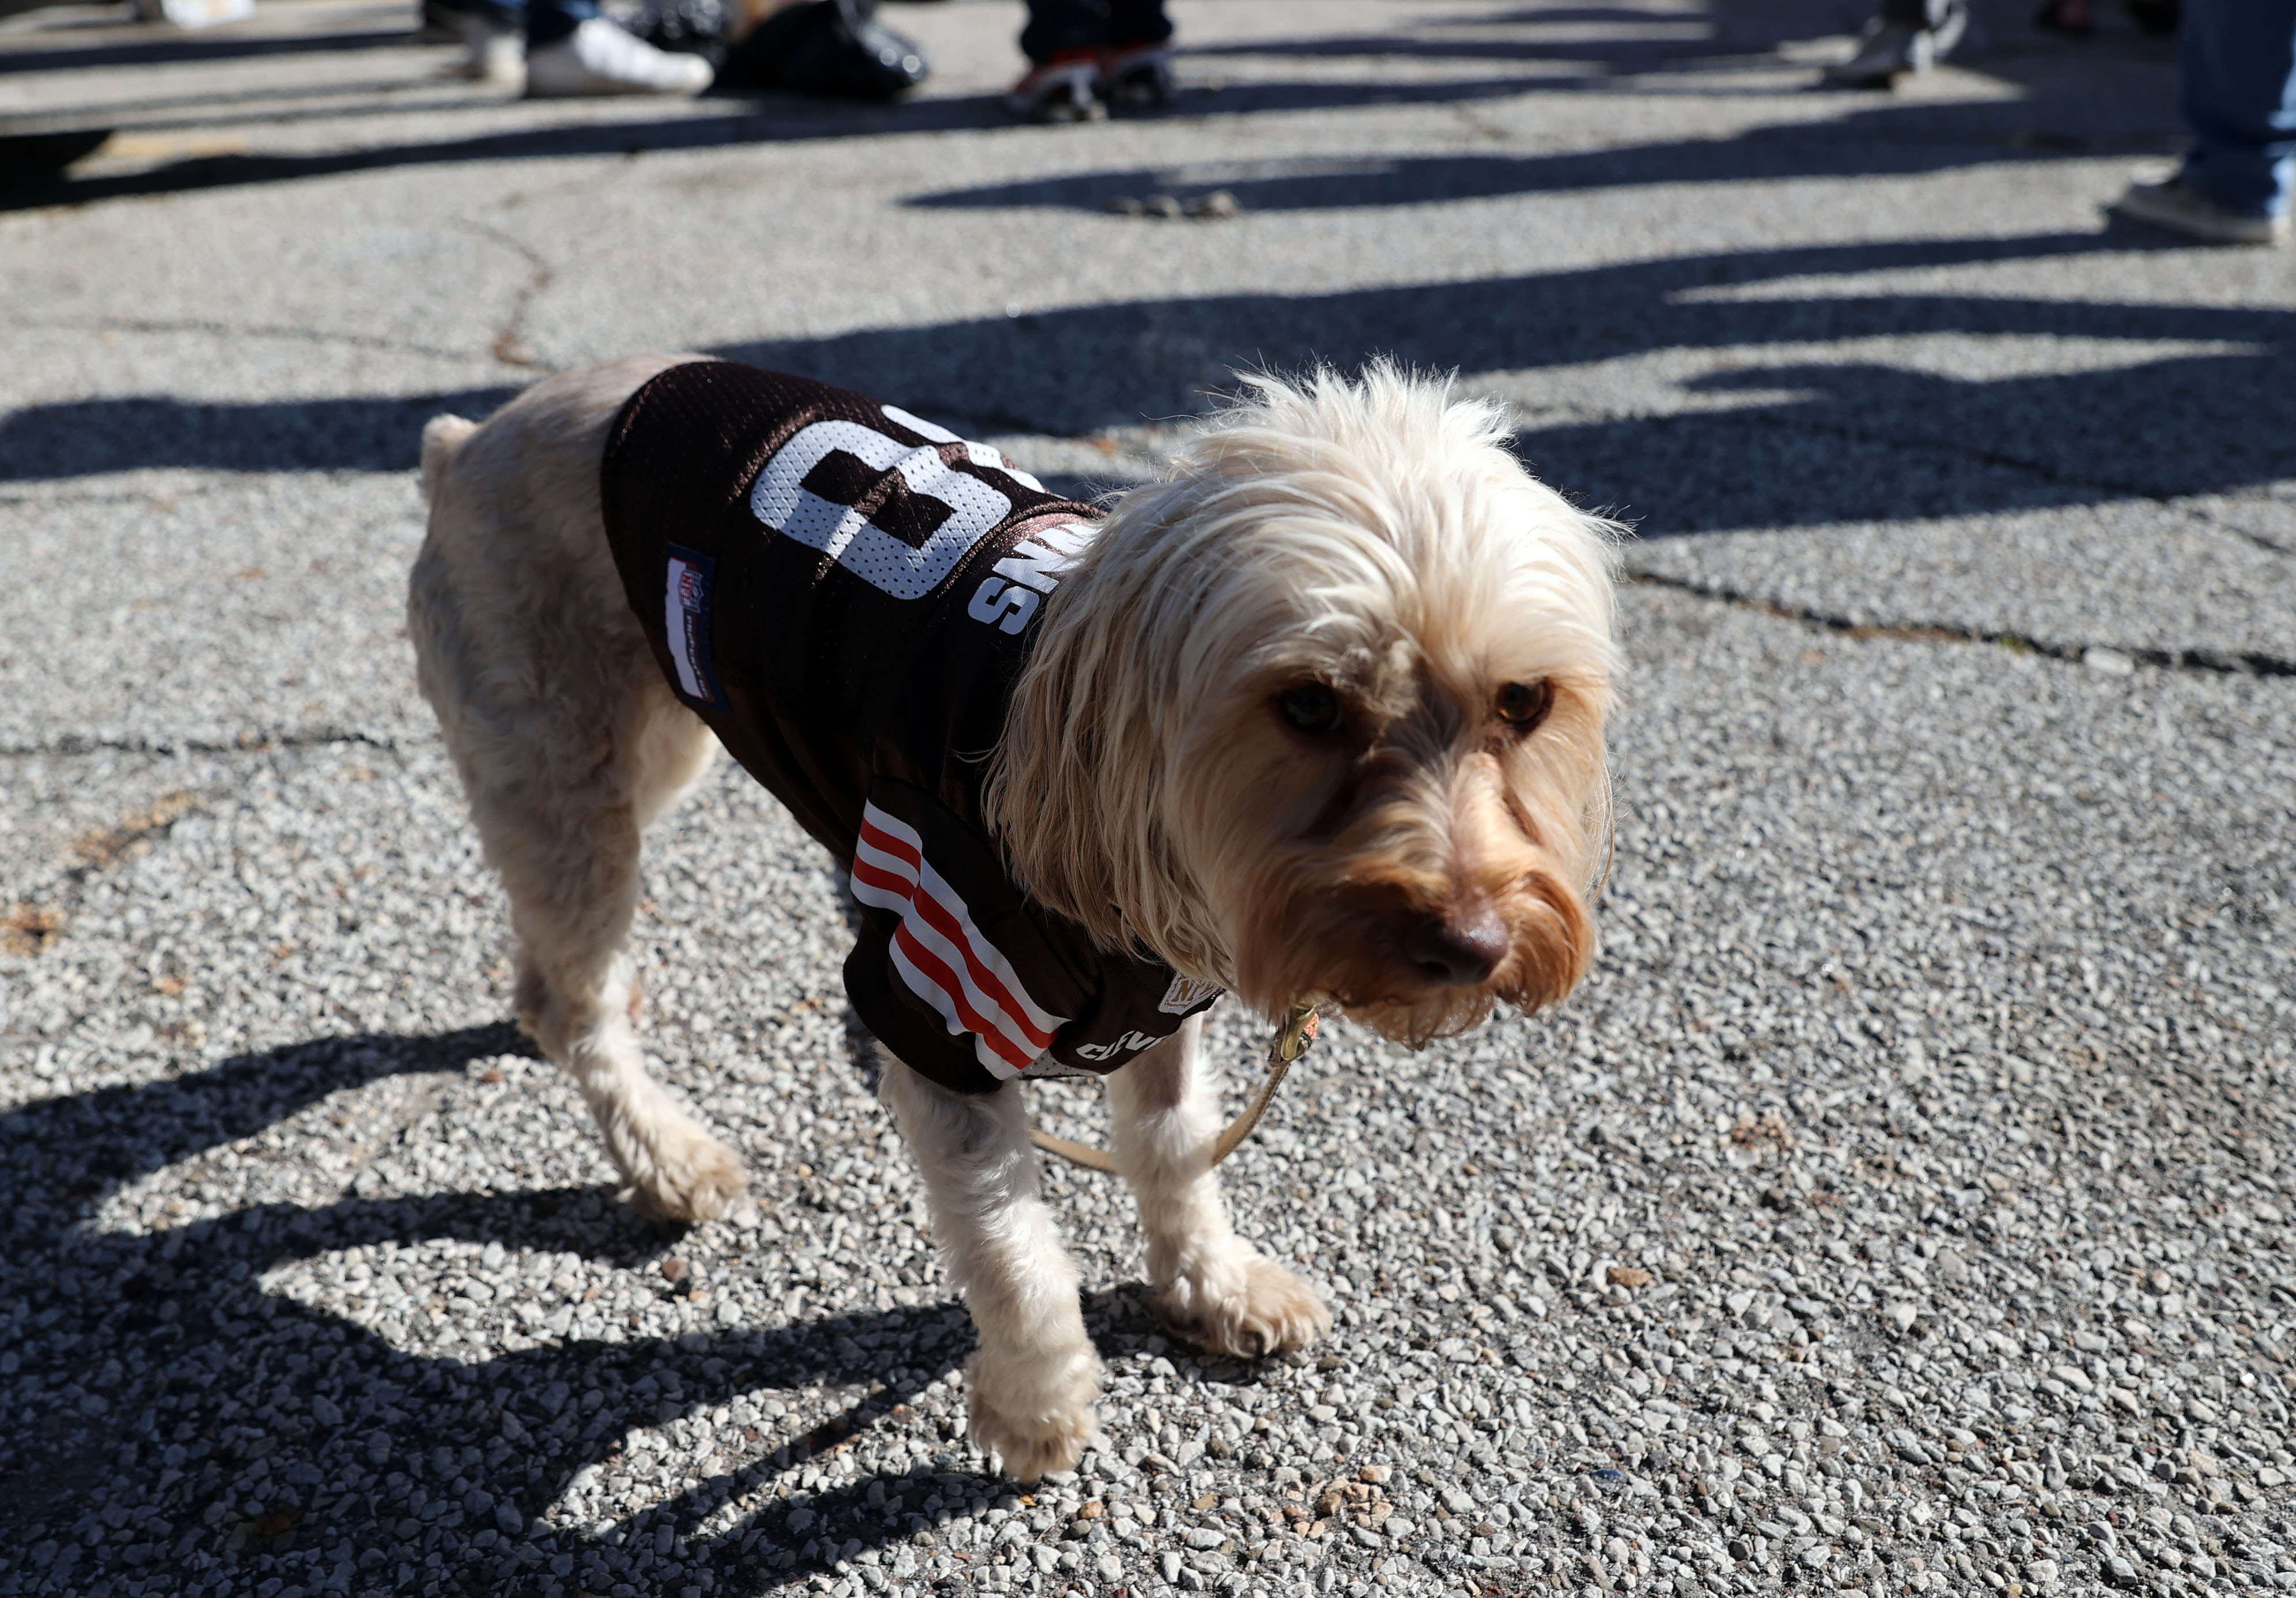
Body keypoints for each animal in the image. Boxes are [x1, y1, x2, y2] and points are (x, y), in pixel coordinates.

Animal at [404, 356, 1616, 1478]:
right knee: (578, 988)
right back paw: (664, 1153)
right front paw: (1038, 1406)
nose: (1472, 944)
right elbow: (1010, 1244)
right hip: (569, 762)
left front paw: (1209, 1283)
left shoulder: (1163, 1000)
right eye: (1310, 705)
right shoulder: (932, 1005)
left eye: (1524, 702)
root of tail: (468, 441)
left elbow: (1175, 1148)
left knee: (548, 973)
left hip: (661, 741)